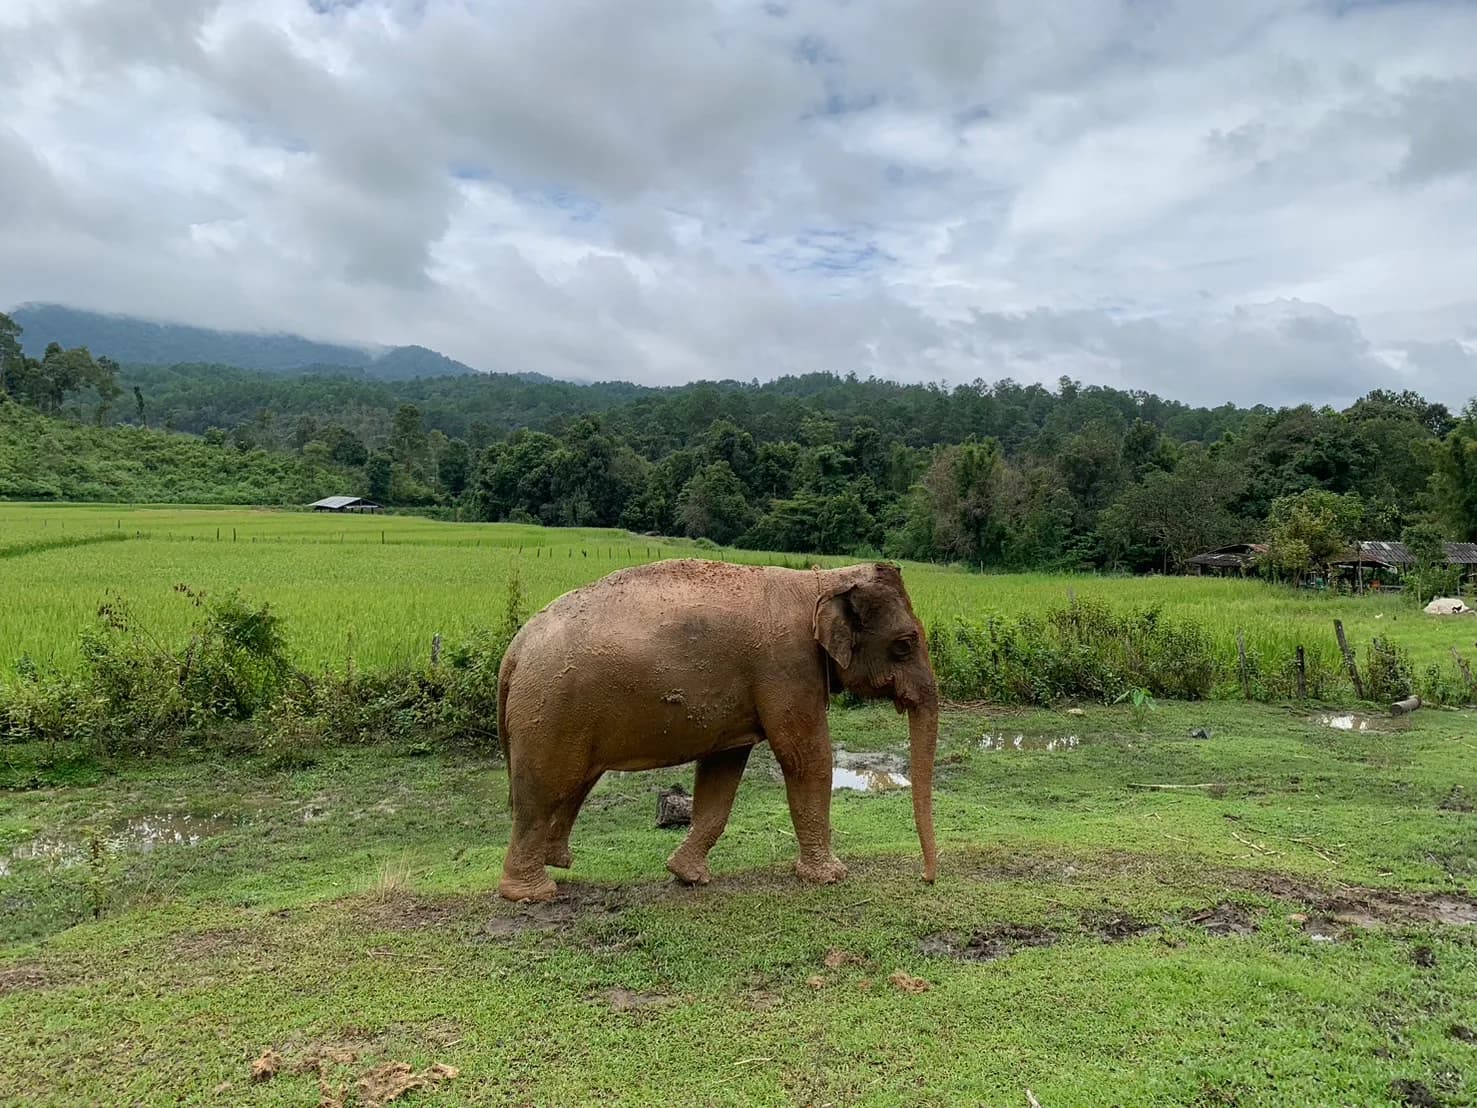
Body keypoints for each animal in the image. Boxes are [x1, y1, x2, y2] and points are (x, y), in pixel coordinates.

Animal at [494, 558, 939, 902]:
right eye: (904, 644)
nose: (927, 878)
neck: (821, 580)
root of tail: (514, 652)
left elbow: (721, 773)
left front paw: (687, 875)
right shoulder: (787, 669)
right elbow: (805, 758)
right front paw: (831, 877)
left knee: (575, 782)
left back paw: (558, 862)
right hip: (551, 708)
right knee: (544, 789)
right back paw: (533, 893)